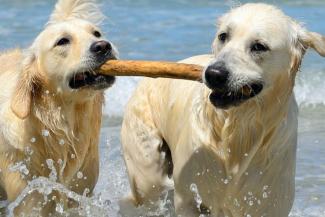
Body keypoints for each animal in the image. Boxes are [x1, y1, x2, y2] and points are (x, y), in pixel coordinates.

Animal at [119, 3, 324, 217]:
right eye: (223, 36)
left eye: (259, 46)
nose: (214, 74)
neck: (239, 129)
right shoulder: (187, 195)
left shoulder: (270, 201)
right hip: (146, 163)